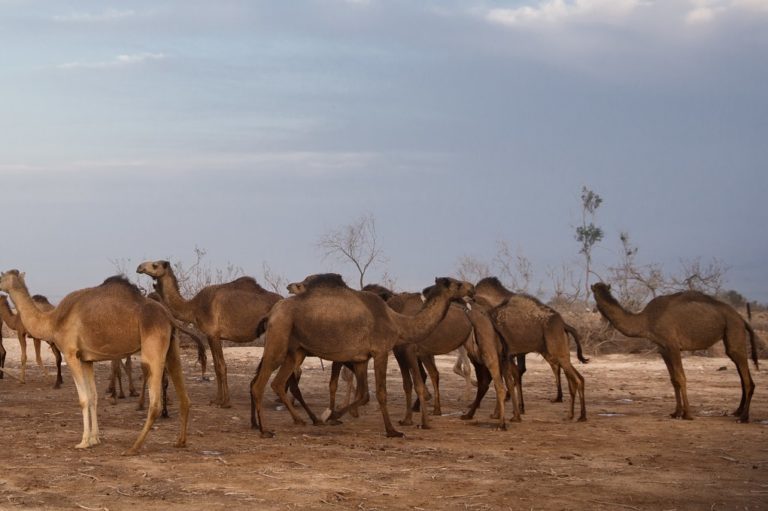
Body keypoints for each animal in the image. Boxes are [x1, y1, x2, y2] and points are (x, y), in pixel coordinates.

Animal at [136, 260, 280, 408]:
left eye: (155, 265)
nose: (139, 267)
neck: (193, 306)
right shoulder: (211, 336)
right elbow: (216, 367)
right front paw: (217, 400)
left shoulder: (213, 334)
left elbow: (221, 366)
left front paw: (225, 402)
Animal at [249, 274, 474, 438]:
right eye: (458, 283)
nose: (472, 288)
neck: (399, 322)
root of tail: (271, 313)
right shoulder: (381, 351)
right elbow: (380, 393)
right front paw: (392, 430)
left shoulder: (360, 359)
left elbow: (364, 394)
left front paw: (333, 415)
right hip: (280, 337)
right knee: (259, 383)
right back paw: (265, 430)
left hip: (296, 351)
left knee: (277, 383)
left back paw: (302, 420)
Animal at [474, 278, 588, 410]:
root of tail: (564, 324)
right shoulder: (513, 352)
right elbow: (515, 371)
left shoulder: (509, 352)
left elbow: (515, 371)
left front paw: (516, 404)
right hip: (552, 350)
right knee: (561, 368)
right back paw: (559, 399)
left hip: (554, 349)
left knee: (561, 368)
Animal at [592, 282, 760, 422]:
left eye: (594, 294)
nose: (595, 308)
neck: (646, 320)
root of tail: (741, 318)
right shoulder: (663, 349)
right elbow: (674, 380)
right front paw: (676, 413)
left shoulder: (673, 346)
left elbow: (681, 377)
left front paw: (688, 414)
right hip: (730, 333)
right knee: (740, 372)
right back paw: (737, 412)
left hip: (733, 328)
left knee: (745, 375)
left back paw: (743, 417)